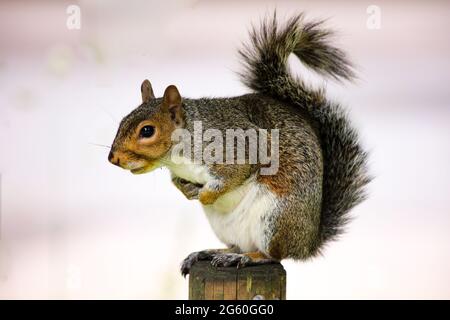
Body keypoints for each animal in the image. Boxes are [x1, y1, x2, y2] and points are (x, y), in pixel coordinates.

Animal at [108, 12, 370, 276]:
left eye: (147, 130)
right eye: (122, 122)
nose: (113, 158)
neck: (179, 155)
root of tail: (307, 244)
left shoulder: (237, 149)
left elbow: (235, 174)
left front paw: (203, 195)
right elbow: (177, 182)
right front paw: (187, 191)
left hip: (276, 218)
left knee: (273, 256)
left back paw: (246, 258)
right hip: (227, 227)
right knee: (237, 245)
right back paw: (212, 253)